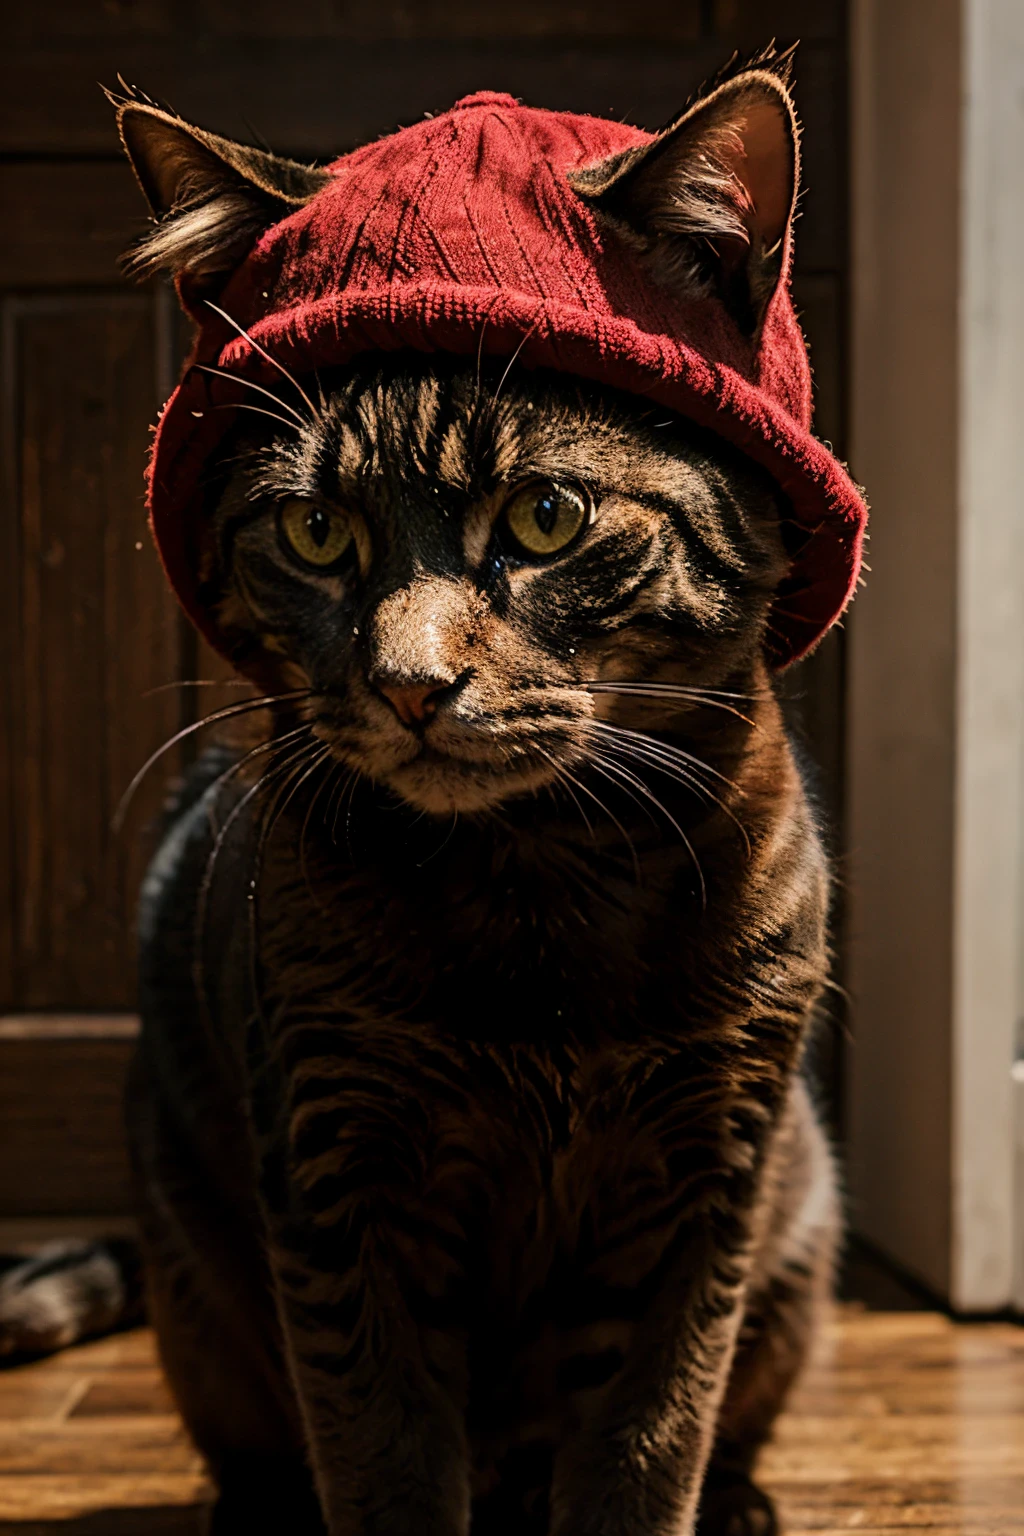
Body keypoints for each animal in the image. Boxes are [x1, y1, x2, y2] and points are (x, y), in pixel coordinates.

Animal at [0, 48, 847, 1536]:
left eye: (546, 519)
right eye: (314, 531)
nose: (408, 681)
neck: (543, 885)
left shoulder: (712, 1173)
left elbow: (649, 1446)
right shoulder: (340, 1167)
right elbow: (380, 1451)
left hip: (800, 1232)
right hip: (198, 1283)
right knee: (255, 1439)